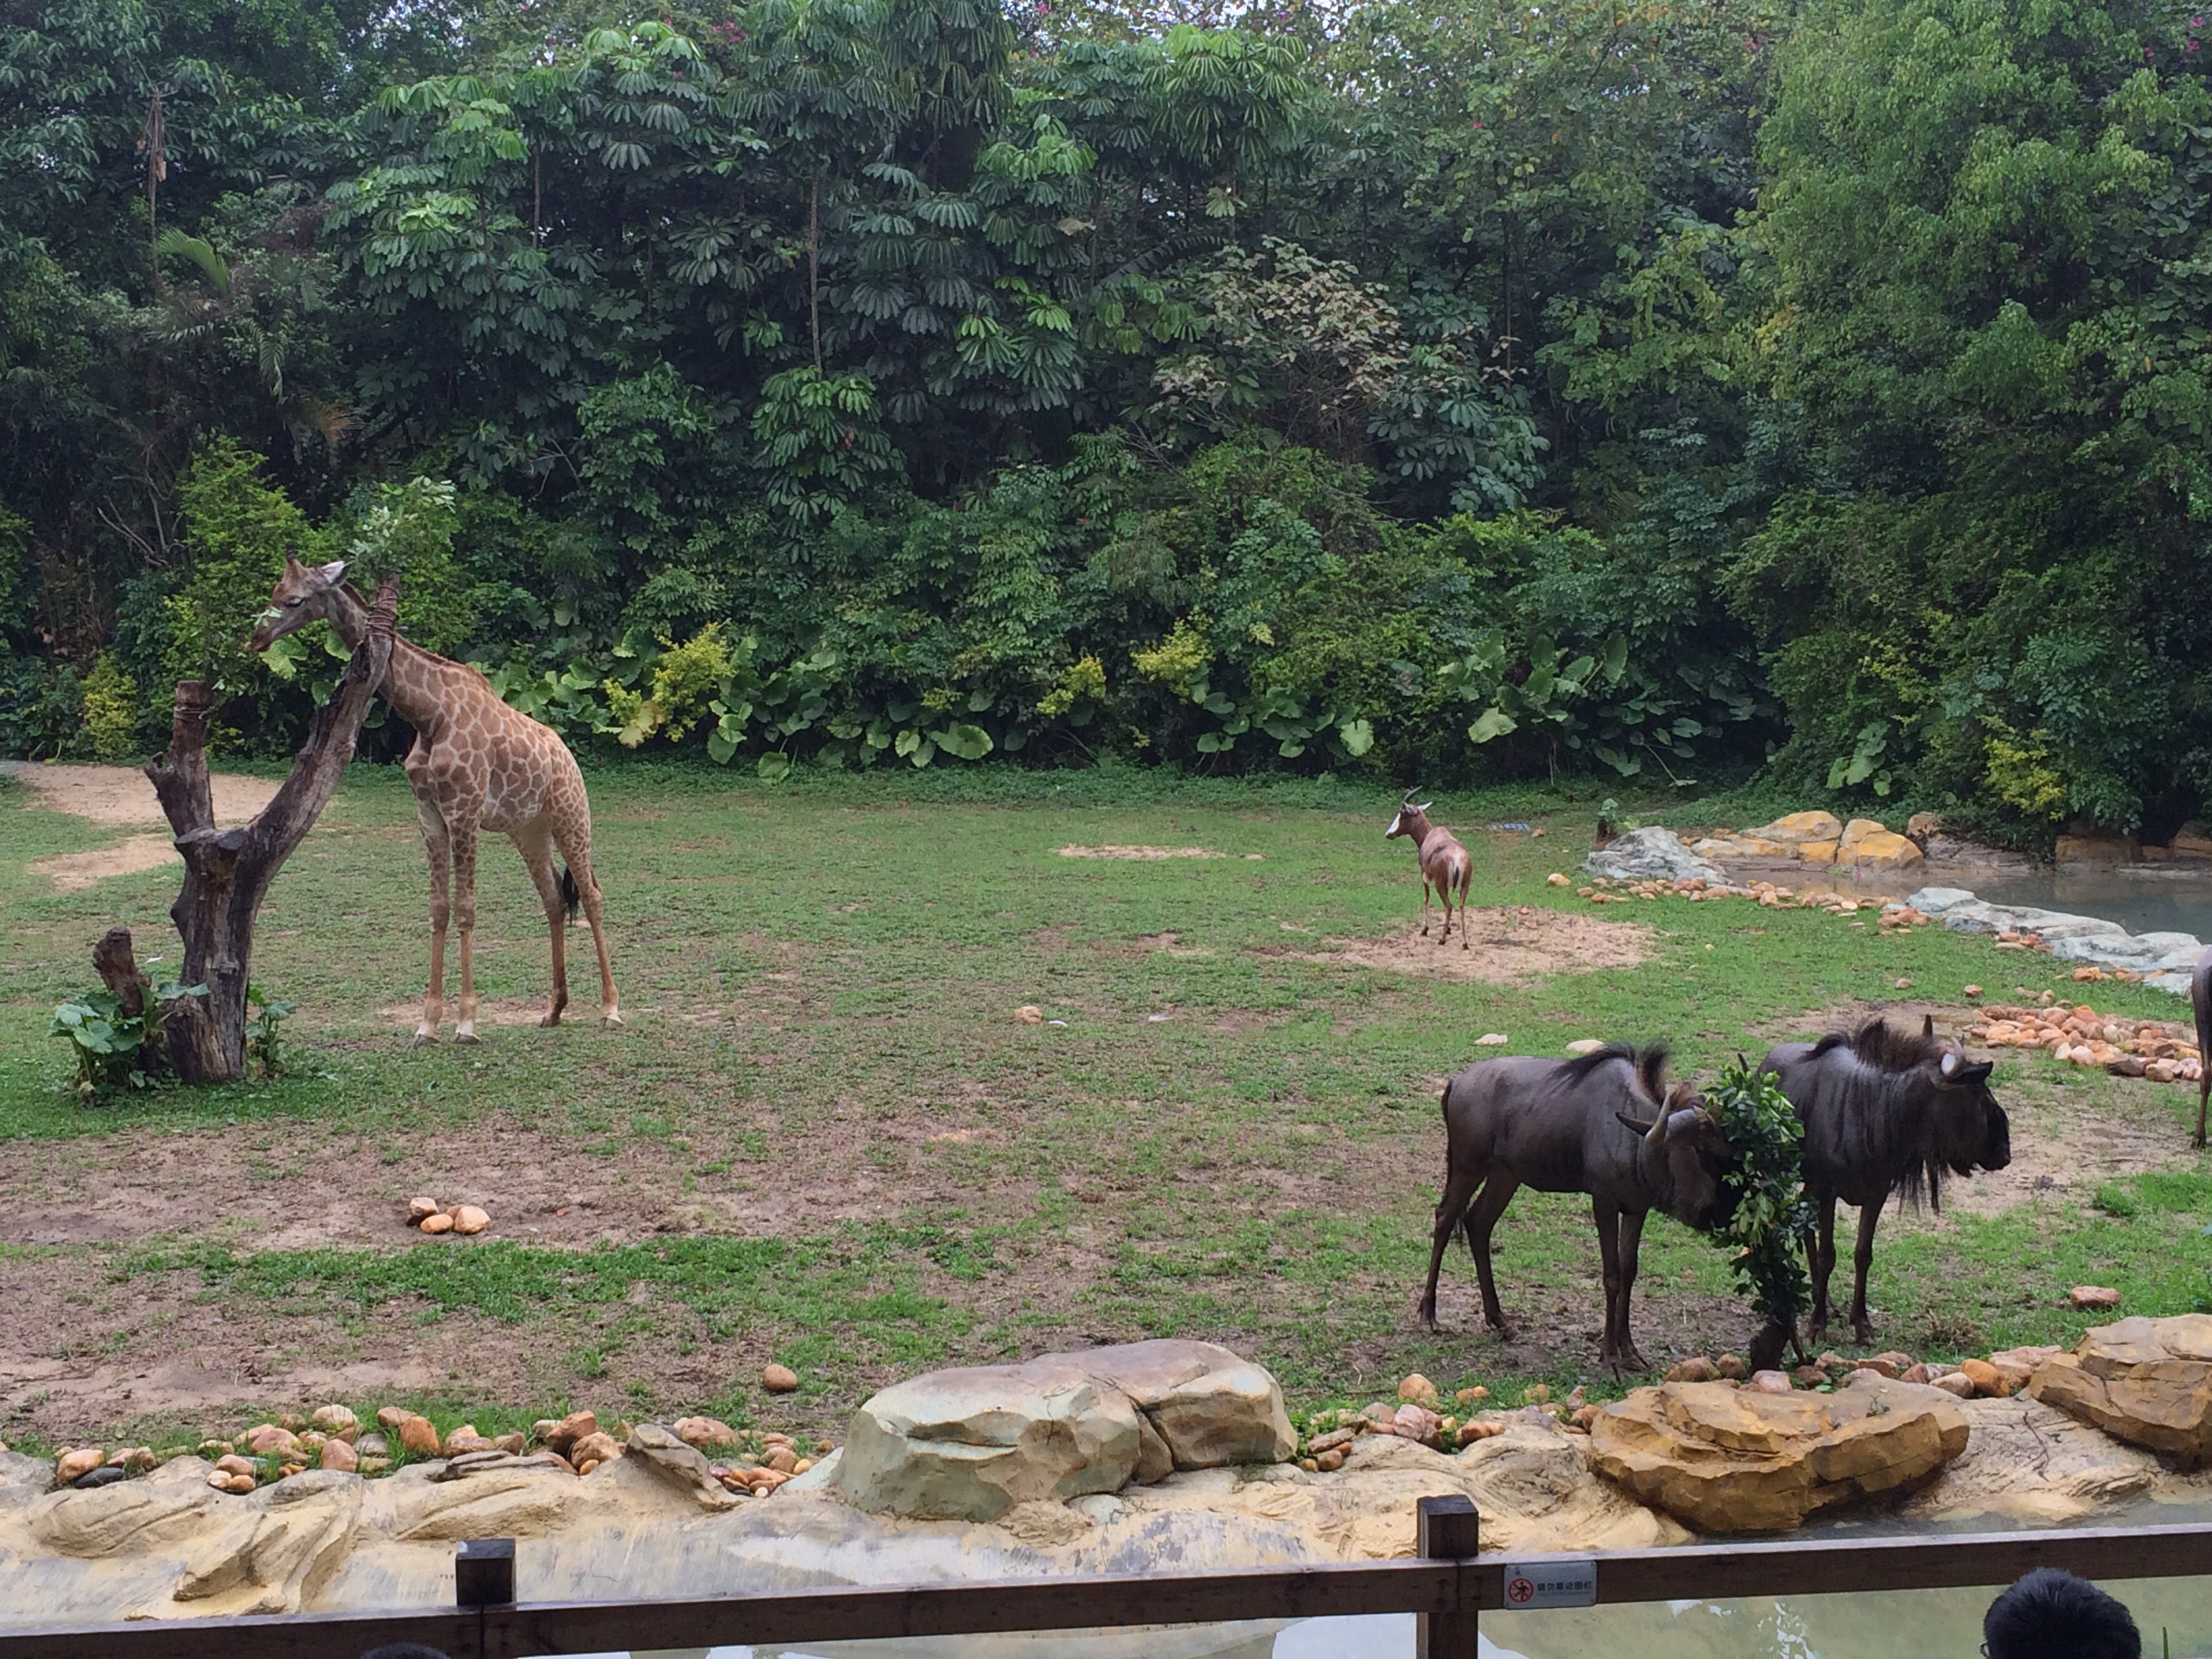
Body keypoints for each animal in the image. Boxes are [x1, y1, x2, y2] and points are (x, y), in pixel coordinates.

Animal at [251, 566, 623, 1044]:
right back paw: (554, 1009)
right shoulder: (429, 815)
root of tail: (569, 756)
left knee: (592, 895)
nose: (257, 637)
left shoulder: (463, 811)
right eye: (275, 592)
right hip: (529, 830)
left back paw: (611, 1008)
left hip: (570, 815)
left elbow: (465, 909)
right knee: (554, 898)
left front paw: (466, 1023)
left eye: (295, 600)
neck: (428, 714)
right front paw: (427, 1024)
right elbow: (439, 910)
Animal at [1380, 787, 1469, 946]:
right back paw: (1465, 943)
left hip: (1440, 885)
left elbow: (1426, 898)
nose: (1388, 834)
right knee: (1461, 906)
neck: (1430, 835)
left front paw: (1425, 930)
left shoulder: (1424, 876)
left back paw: (1442, 940)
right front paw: (1448, 929)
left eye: (1402, 813)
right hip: (1465, 885)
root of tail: (1457, 857)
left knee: (1449, 906)